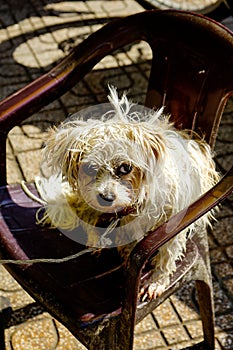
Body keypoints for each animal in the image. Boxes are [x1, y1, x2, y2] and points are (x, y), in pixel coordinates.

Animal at [35, 86, 219, 302]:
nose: (106, 199)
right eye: (89, 168)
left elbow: (167, 255)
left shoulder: (174, 222)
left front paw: (156, 281)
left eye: (125, 168)